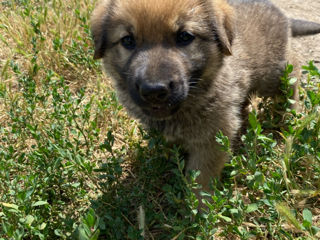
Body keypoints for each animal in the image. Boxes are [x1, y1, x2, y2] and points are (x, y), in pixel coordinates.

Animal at [90, 0, 320, 190]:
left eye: (184, 37)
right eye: (127, 40)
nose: (154, 90)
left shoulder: (212, 140)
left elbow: (200, 178)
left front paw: (200, 209)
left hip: (274, 74)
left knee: (293, 76)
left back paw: (290, 116)